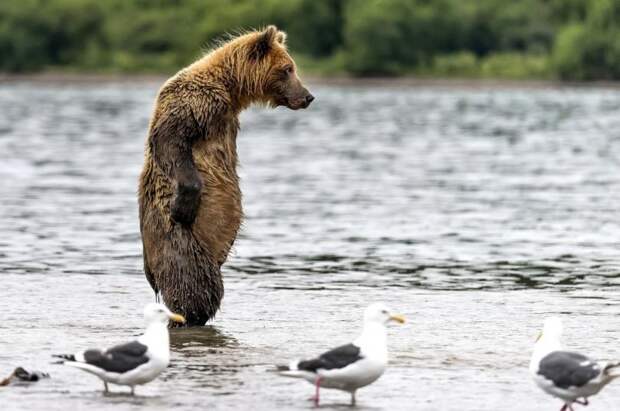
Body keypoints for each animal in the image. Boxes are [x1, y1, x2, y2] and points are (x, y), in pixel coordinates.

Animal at [140, 26, 314, 328]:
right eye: (287, 69)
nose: (307, 96)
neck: (231, 91)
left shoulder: (226, 118)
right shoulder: (196, 104)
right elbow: (171, 140)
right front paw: (183, 206)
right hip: (179, 244)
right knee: (195, 287)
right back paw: (188, 316)